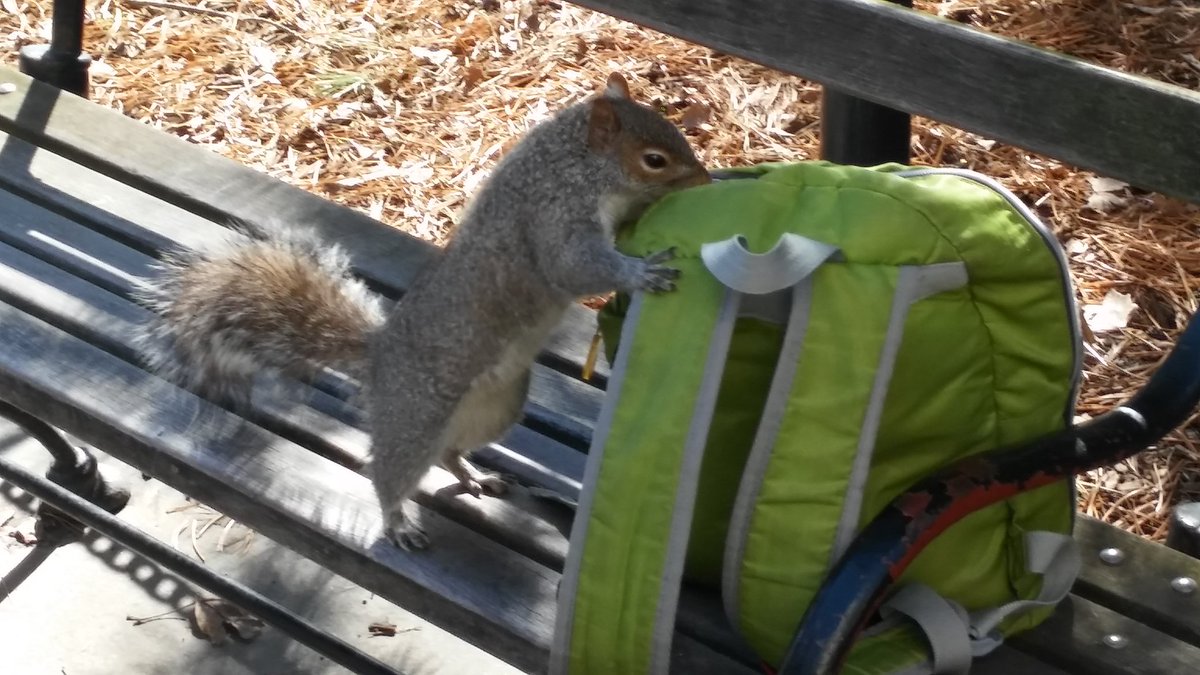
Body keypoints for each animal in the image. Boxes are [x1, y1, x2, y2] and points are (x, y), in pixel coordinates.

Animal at [136, 72, 711, 550]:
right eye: (654, 159)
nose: (707, 181)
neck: (573, 164)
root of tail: (378, 363)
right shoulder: (553, 216)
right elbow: (574, 267)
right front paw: (642, 272)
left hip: (497, 407)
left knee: (450, 452)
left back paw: (475, 477)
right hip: (414, 419)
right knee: (391, 471)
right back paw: (396, 521)